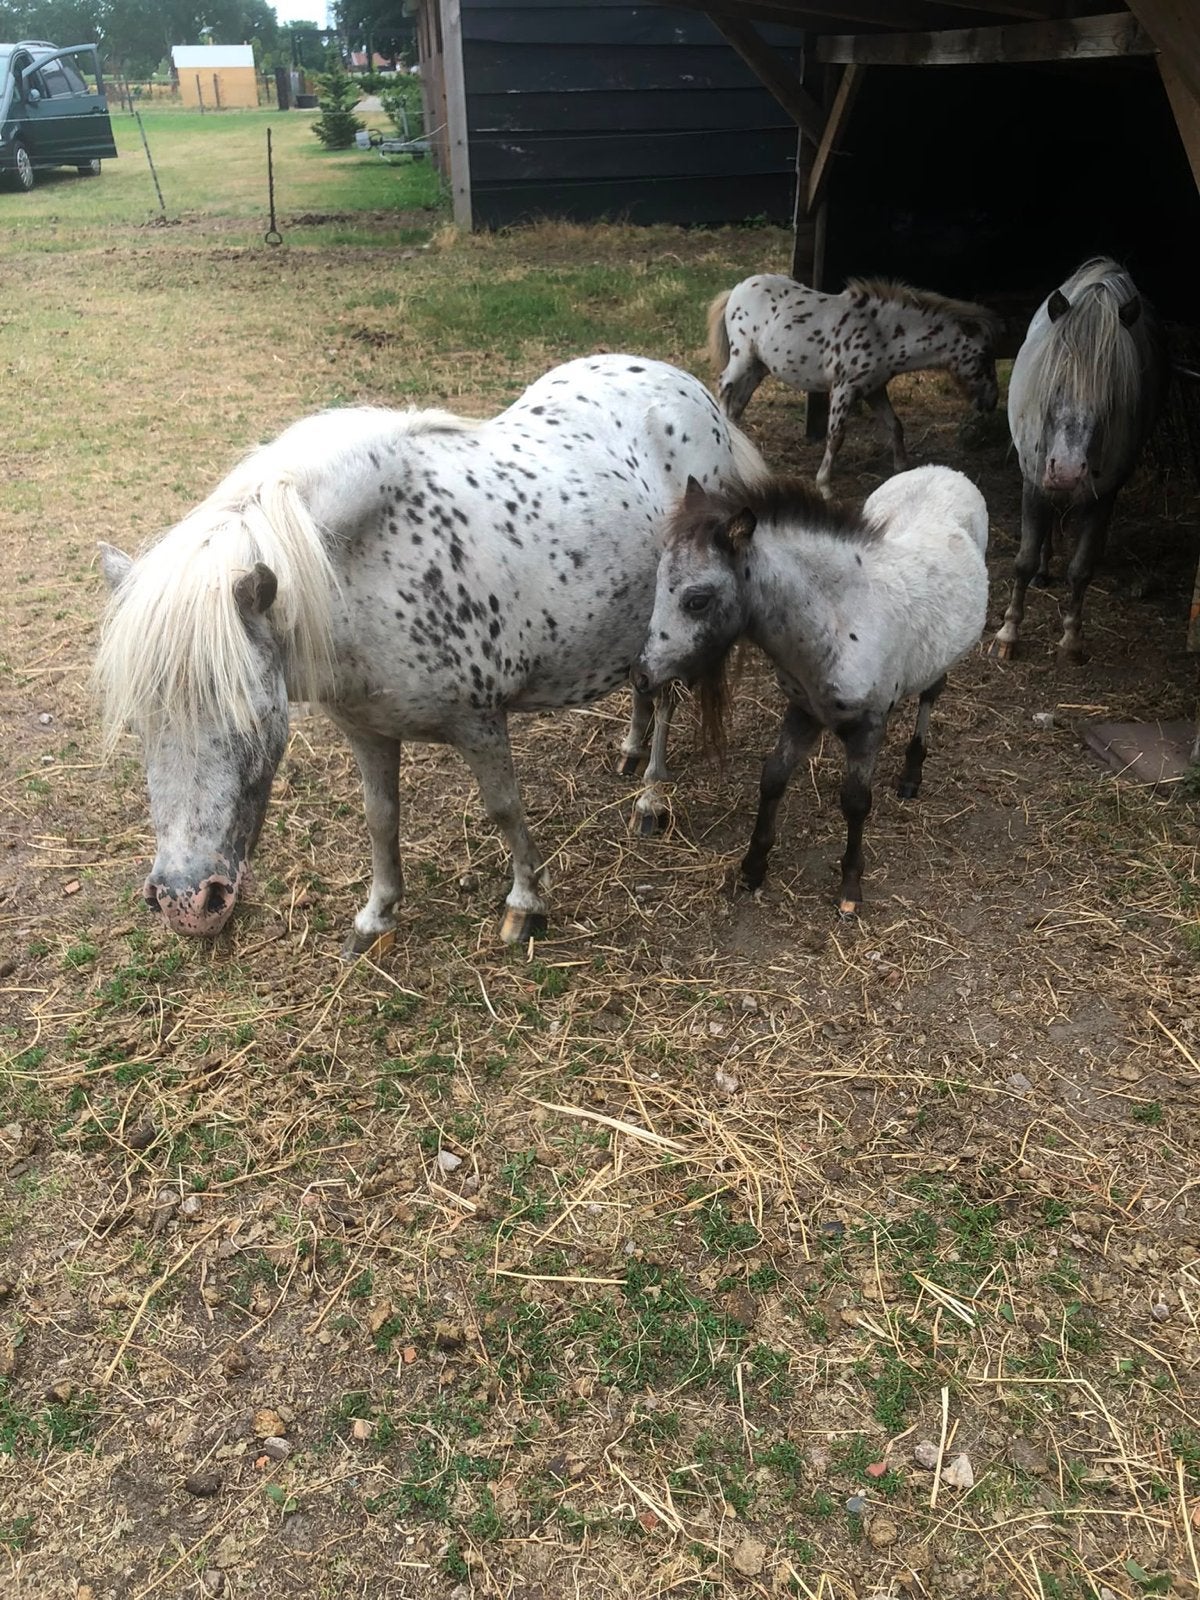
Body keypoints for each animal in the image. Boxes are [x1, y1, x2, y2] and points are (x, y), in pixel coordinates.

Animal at [93, 355, 769, 951]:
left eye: (256, 717)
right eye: (139, 725)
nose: (186, 902)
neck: (368, 567)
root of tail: (691, 390)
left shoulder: (480, 722)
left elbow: (504, 809)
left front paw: (526, 906)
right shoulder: (366, 730)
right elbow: (380, 817)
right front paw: (377, 915)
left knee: (670, 701)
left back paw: (651, 798)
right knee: (643, 684)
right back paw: (630, 748)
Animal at [632, 464, 989, 915]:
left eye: (697, 600)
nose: (642, 676)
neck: (838, 622)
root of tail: (944, 470)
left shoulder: (868, 726)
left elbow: (855, 801)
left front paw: (850, 888)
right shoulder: (801, 710)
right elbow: (773, 778)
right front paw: (752, 867)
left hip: (940, 660)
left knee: (930, 693)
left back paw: (911, 775)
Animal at [706, 274, 1002, 494]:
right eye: (983, 356)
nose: (992, 401)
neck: (883, 333)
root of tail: (737, 288)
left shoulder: (874, 390)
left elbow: (895, 425)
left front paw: (902, 468)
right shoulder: (844, 389)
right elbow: (836, 436)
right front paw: (824, 485)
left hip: (758, 367)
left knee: (739, 402)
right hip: (742, 356)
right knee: (724, 386)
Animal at [990, 258, 1168, 663]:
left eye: (1111, 394)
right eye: (1055, 381)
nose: (1068, 471)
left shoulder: (1104, 495)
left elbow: (1081, 569)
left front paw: (1071, 638)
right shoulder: (1034, 481)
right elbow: (1022, 561)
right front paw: (1009, 632)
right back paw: (1043, 569)